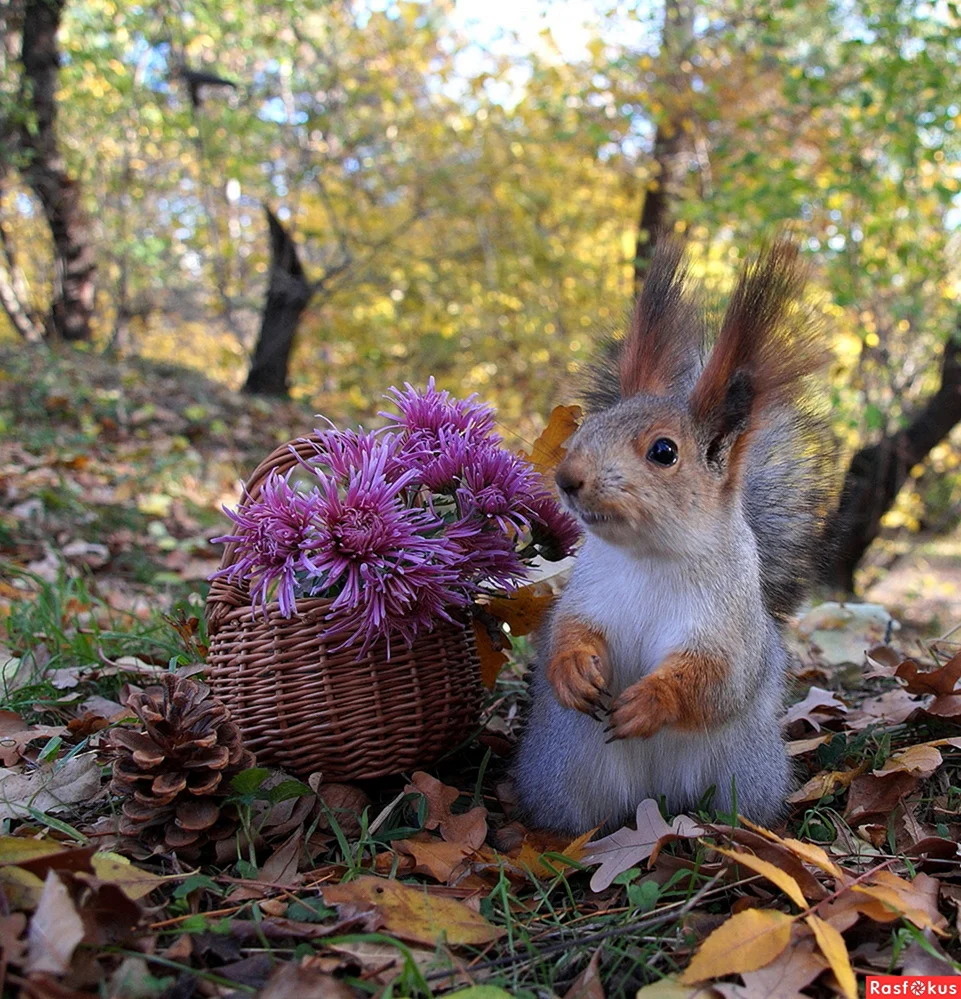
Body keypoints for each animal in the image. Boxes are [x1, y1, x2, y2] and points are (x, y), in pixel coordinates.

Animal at [512, 238, 836, 832]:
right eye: (588, 429)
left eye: (664, 452)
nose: (567, 479)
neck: (649, 556)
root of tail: (652, 799)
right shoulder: (585, 594)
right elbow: (565, 633)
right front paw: (572, 671)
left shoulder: (729, 625)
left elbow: (715, 679)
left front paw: (650, 703)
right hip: (565, 780)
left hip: (739, 777)